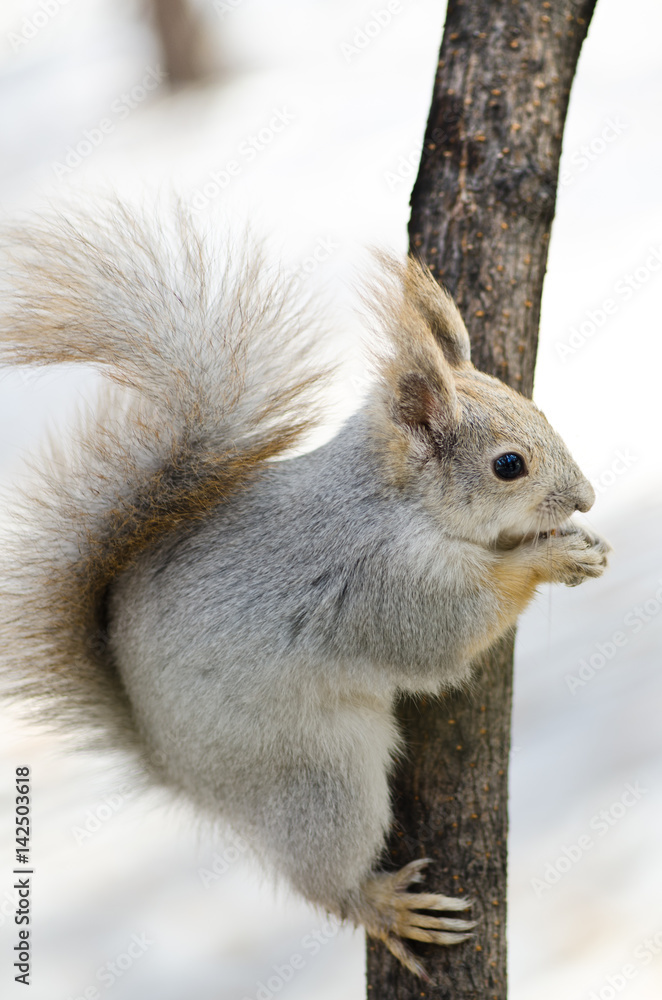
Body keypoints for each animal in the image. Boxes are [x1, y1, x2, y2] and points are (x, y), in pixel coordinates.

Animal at [0, 201, 609, 978]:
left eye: (540, 412)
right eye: (509, 465)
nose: (587, 498)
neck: (388, 498)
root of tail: (174, 767)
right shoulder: (387, 584)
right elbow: (448, 637)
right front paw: (550, 559)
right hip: (320, 776)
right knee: (323, 879)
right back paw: (381, 904)